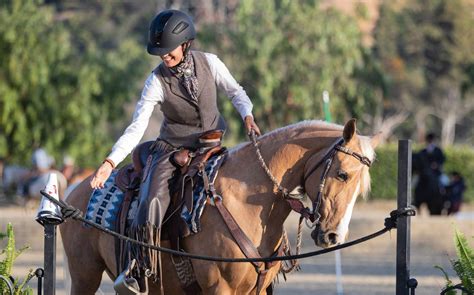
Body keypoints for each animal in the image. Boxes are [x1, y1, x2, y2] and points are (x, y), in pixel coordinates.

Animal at [62, 119, 382, 294]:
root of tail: (75, 189)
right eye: (342, 174)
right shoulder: (220, 288)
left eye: (361, 186)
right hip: (84, 276)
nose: (333, 236)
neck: (244, 199)